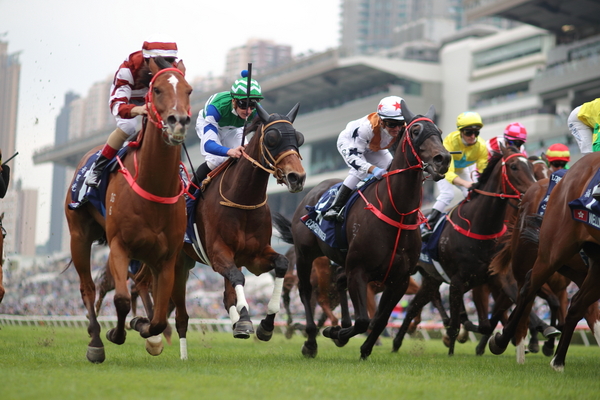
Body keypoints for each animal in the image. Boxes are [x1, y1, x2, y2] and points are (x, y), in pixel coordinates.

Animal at [63, 58, 191, 362]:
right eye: (157, 89)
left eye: (189, 90)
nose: (178, 121)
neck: (154, 186)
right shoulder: (119, 245)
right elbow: (121, 299)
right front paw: (114, 333)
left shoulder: (167, 257)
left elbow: (159, 317)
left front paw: (147, 330)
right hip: (79, 235)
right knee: (88, 288)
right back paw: (95, 340)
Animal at [179, 102, 304, 340]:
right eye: (271, 138)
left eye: (298, 138)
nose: (297, 177)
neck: (243, 199)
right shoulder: (218, 253)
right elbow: (238, 277)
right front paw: (245, 320)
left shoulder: (255, 256)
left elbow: (282, 264)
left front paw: (266, 324)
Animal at [272, 101, 450, 360]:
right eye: (416, 131)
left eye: (440, 131)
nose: (443, 159)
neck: (396, 213)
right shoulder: (359, 270)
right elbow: (364, 320)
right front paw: (335, 334)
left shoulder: (400, 279)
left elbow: (379, 320)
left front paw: (363, 347)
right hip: (306, 254)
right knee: (306, 292)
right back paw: (311, 341)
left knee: (338, 284)